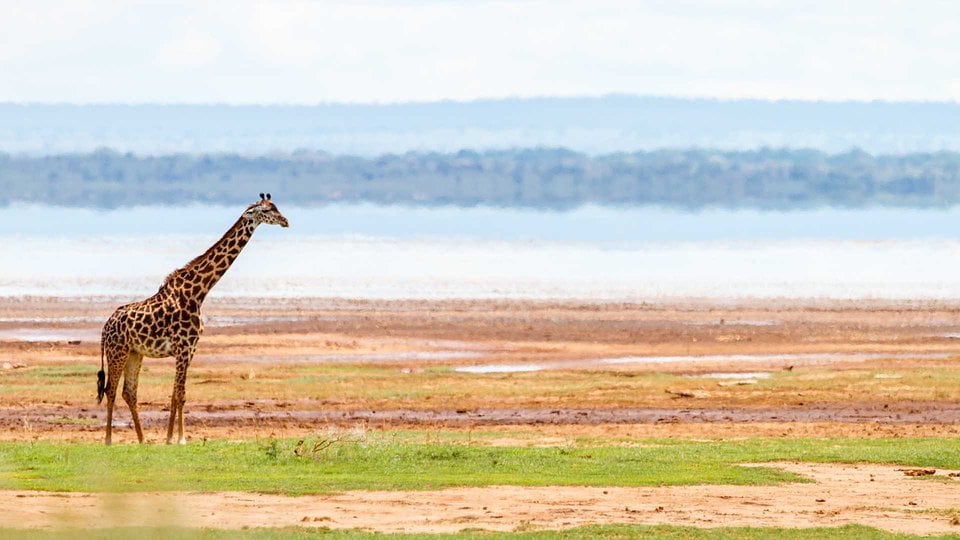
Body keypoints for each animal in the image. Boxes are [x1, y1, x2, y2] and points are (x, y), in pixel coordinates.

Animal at [97, 193, 289, 445]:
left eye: (276, 207)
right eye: (266, 211)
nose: (286, 221)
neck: (198, 293)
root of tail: (105, 327)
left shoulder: (190, 349)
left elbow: (178, 394)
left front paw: (172, 438)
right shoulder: (183, 348)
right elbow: (179, 394)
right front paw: (178, 438)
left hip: (134, 353)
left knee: (129, 392)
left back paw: (142, 439)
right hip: (117, 352)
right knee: (110, 390)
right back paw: (109, 440)